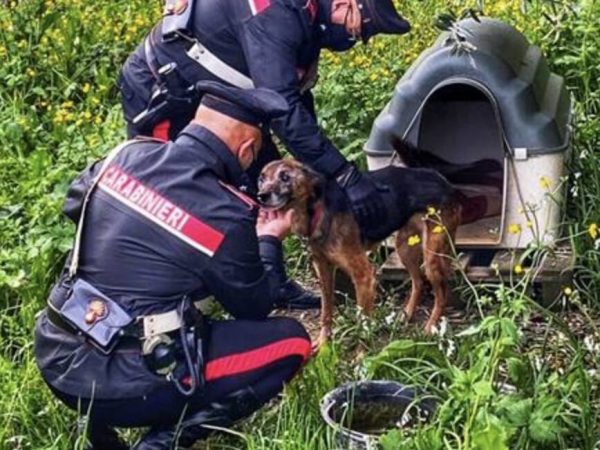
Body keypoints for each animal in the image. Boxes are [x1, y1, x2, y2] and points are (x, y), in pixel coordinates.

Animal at [256, 149, 460, 342]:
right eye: (261, 178)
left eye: (285, 177)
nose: (261, 196)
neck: (316, 213)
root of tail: (440, 179)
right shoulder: (323, 269)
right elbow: (326, 310)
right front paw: (323, 343)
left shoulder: (364, 276)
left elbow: (363, 325)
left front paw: (362, 354)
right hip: (405, 248)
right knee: (418, 282)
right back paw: (406, 314)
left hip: (432, 256)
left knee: (441, 293)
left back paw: (430, 327)